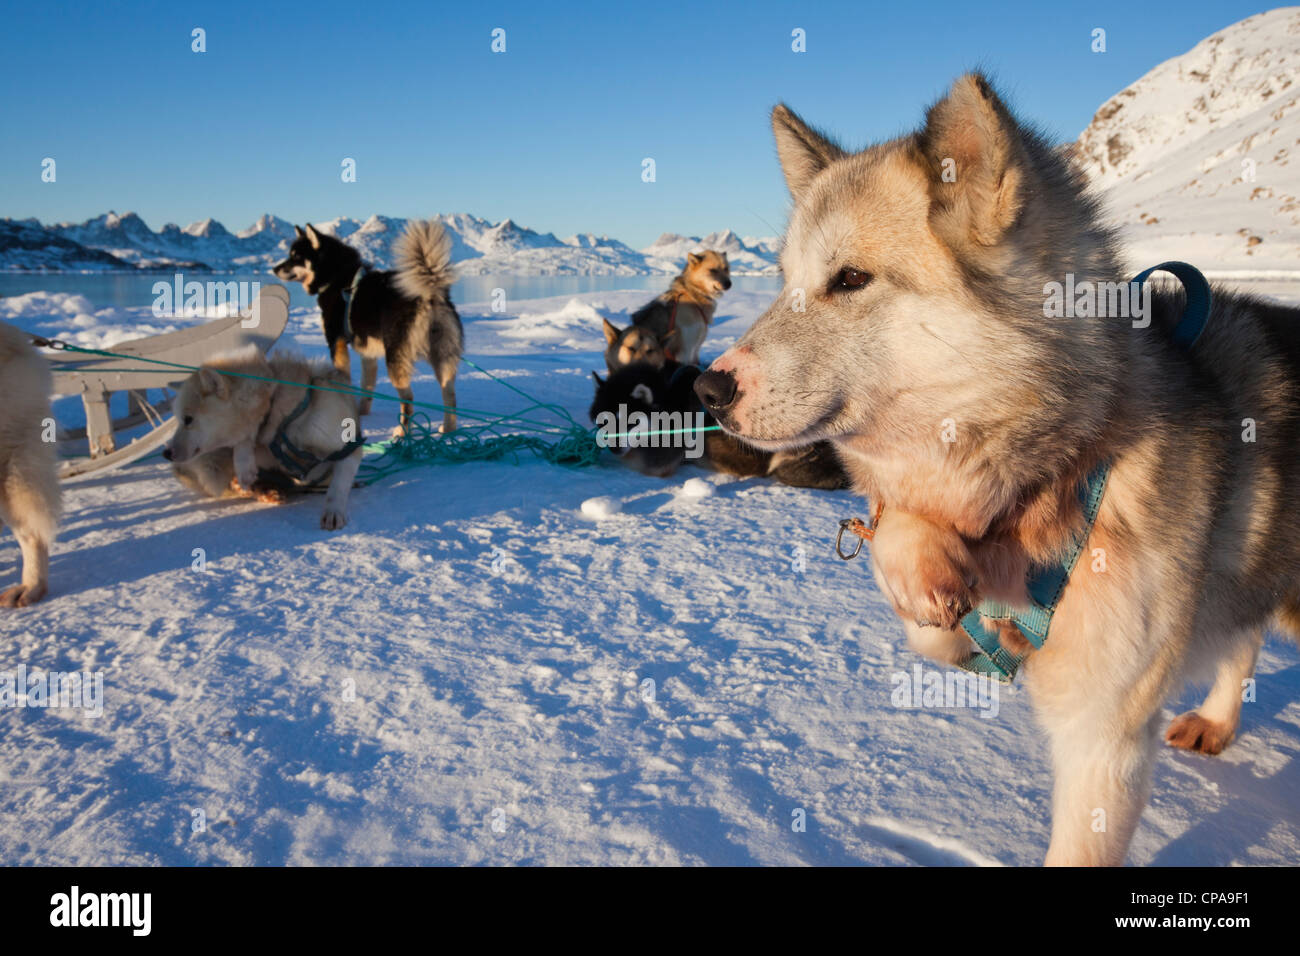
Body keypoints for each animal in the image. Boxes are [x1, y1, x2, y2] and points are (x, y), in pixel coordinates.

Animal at [166, 348, 366, 535]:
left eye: (188, 419)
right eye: (178, 418)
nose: (166, 453)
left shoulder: (349, 449)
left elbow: (337, 487)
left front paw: (333, 511)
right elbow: (243, 443)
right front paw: (244, 465)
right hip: (210, 460)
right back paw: (258, 489)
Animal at [269, 218, 462, 434]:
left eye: (296, 256)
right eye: (290, 254)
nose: (274, 269)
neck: (336, 278)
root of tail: (429, 294)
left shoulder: (336, 343)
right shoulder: (367, 353)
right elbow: (366, 388)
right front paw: (360, 414)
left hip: (395, 359)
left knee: (408, 399)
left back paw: (402, 432)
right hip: (443, 357)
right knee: (450, 396)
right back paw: (448, 430)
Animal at [696, 74, 1300, 868]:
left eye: (851, 278)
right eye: (783, 280)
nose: (706, 389)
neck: (1063, 470)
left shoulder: (1103, 735)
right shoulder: (961, 618)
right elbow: (924, 600)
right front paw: (920, 557)